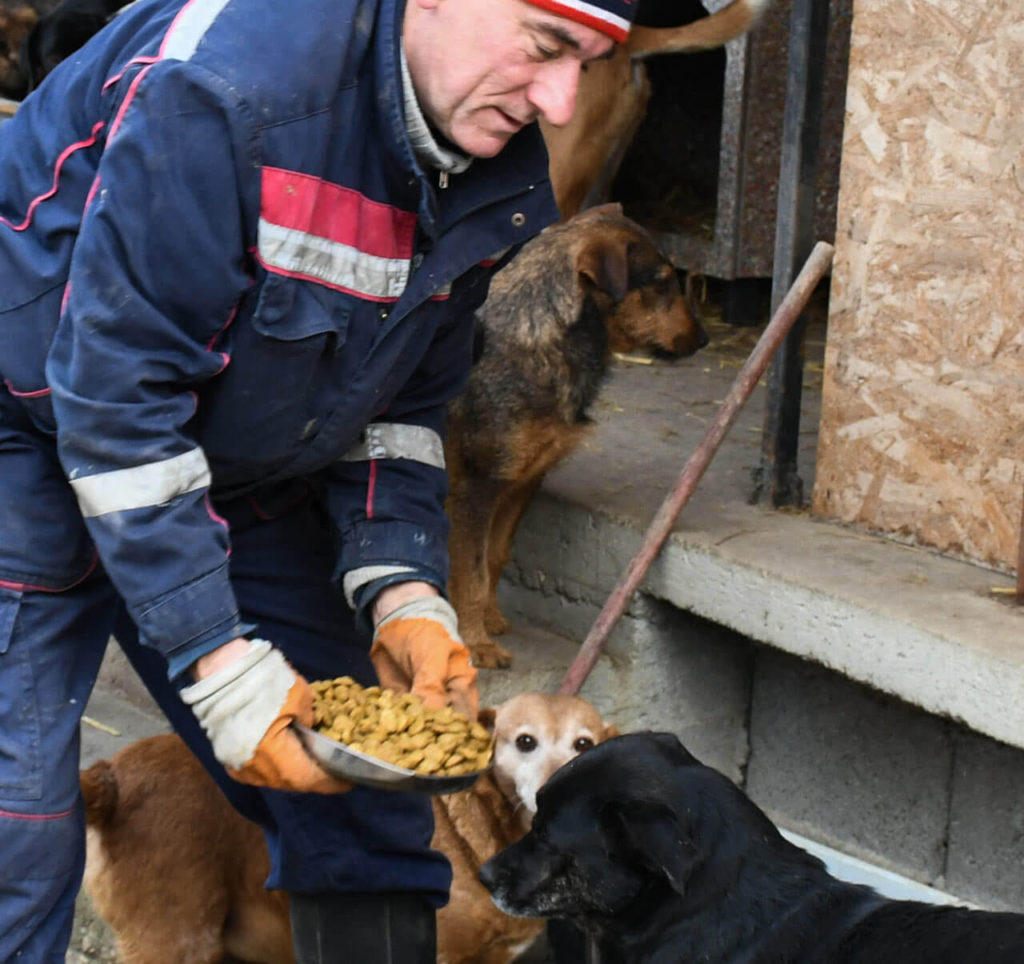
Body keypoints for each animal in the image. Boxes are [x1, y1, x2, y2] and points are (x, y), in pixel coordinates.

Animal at [444, 202, 708, 667]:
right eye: (661, 284)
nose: (706, 338)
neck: (539, 334)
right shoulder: (477, 487)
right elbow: (470, 573)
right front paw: (476, 643)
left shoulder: (523, 481)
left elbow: (496, 555)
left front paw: (490, 620)